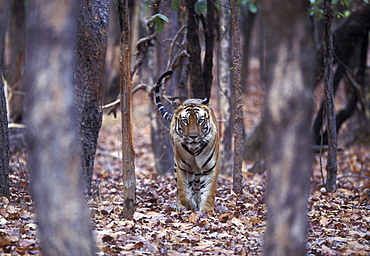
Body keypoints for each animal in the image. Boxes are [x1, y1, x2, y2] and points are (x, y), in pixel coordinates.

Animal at [154, 70, 220, 212]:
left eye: (200, 120)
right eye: (185, 121)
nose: (193, 136)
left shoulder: (210, 168)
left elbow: (208, 192)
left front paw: (206, 211)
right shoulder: (182, 168)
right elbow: (183, 191)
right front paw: (189, 205)